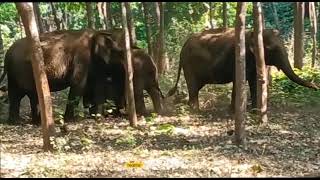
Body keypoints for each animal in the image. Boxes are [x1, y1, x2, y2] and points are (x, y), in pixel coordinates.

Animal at [166, 28, 318, 111]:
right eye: (271, 50)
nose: (317, 87)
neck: (253, 33)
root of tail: (183, 46)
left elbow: (254, 81)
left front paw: (255, 111)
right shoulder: (239, 58)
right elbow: (238, 81)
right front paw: (234, 112)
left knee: (195, 87)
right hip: (189, 65)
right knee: (192, 85)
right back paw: (195, 110)